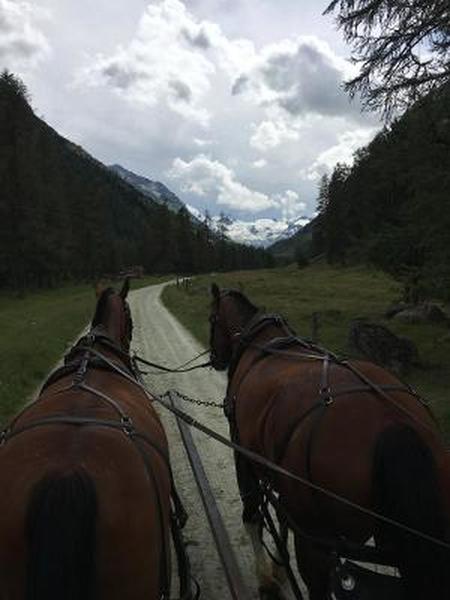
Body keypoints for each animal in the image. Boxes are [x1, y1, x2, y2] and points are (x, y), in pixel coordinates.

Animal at [207, 284, 450, 600]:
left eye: (211, 319)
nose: (215, 359)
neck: (261, 340)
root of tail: (390, 422)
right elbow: (282, 521)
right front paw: (279, 568)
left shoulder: (242, 452)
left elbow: (252, 515)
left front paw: (266, 579)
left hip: (317, 543)